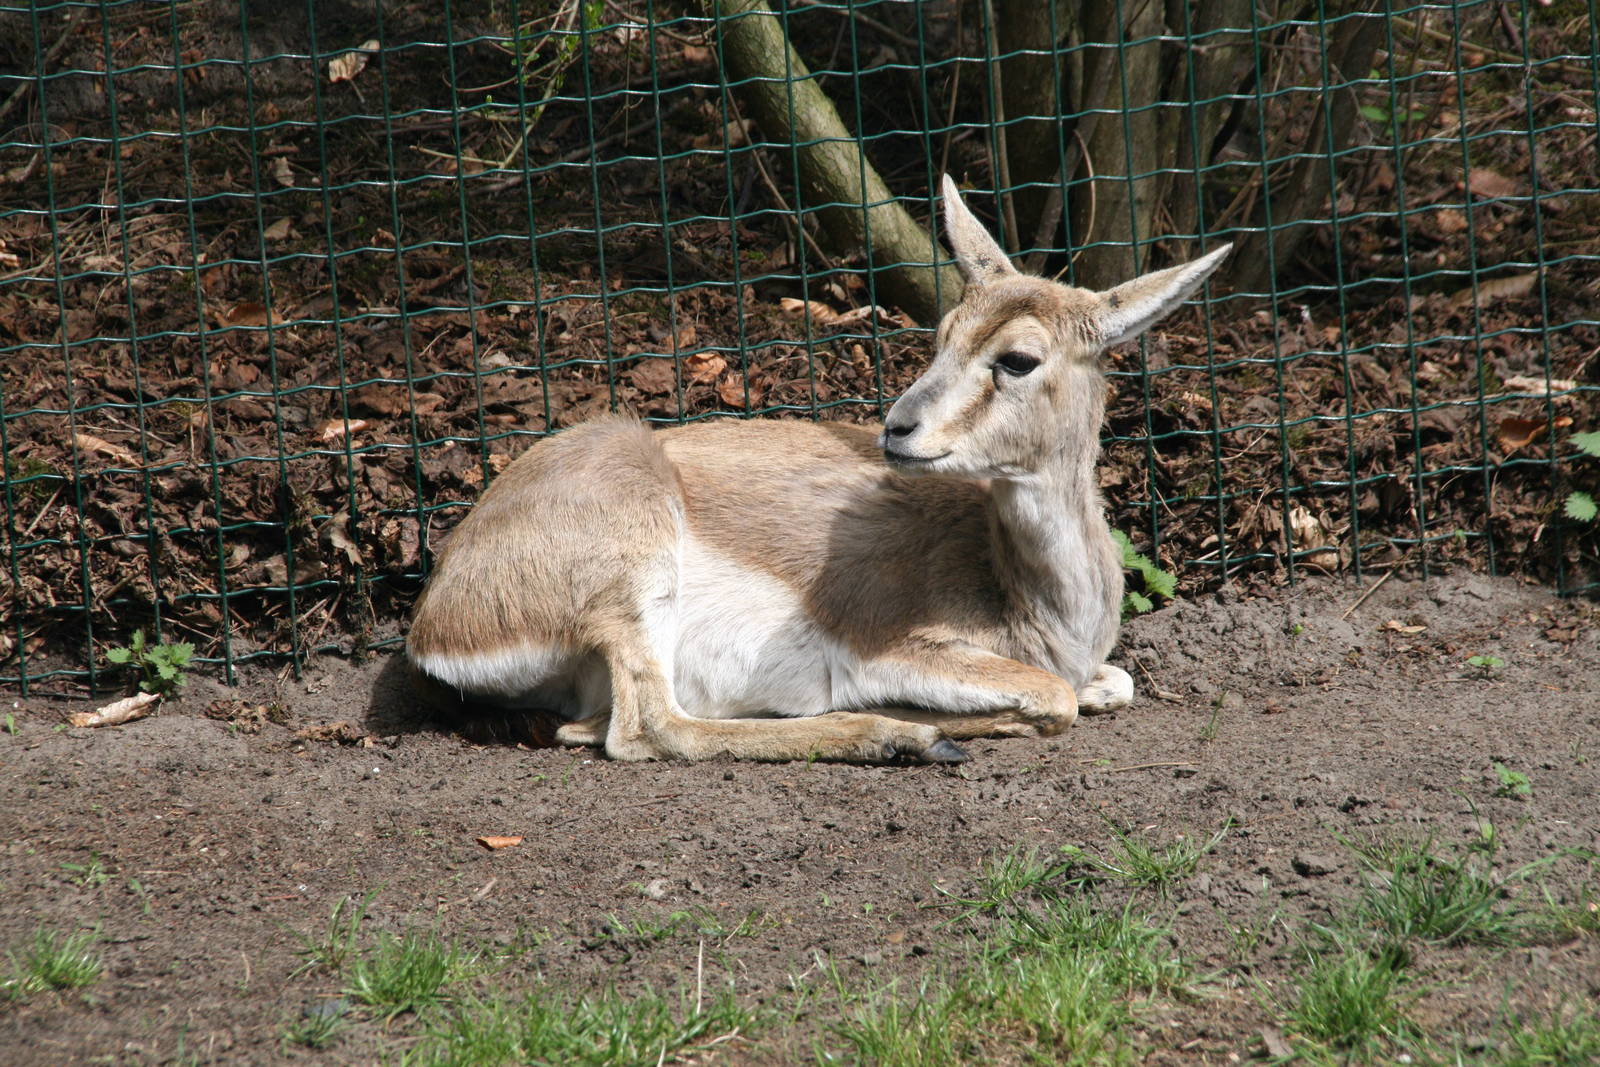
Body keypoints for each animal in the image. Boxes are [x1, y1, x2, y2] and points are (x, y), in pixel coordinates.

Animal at [406, 176, 1229, 763]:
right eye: (943, 332)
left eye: (1019, 357)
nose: (898, 427)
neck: (1039, 605)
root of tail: (436, 620)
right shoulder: (890, 646)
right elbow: (1055, 699)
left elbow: (1114, 682)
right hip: (634, 572)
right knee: (648, 729)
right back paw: (902, 736)